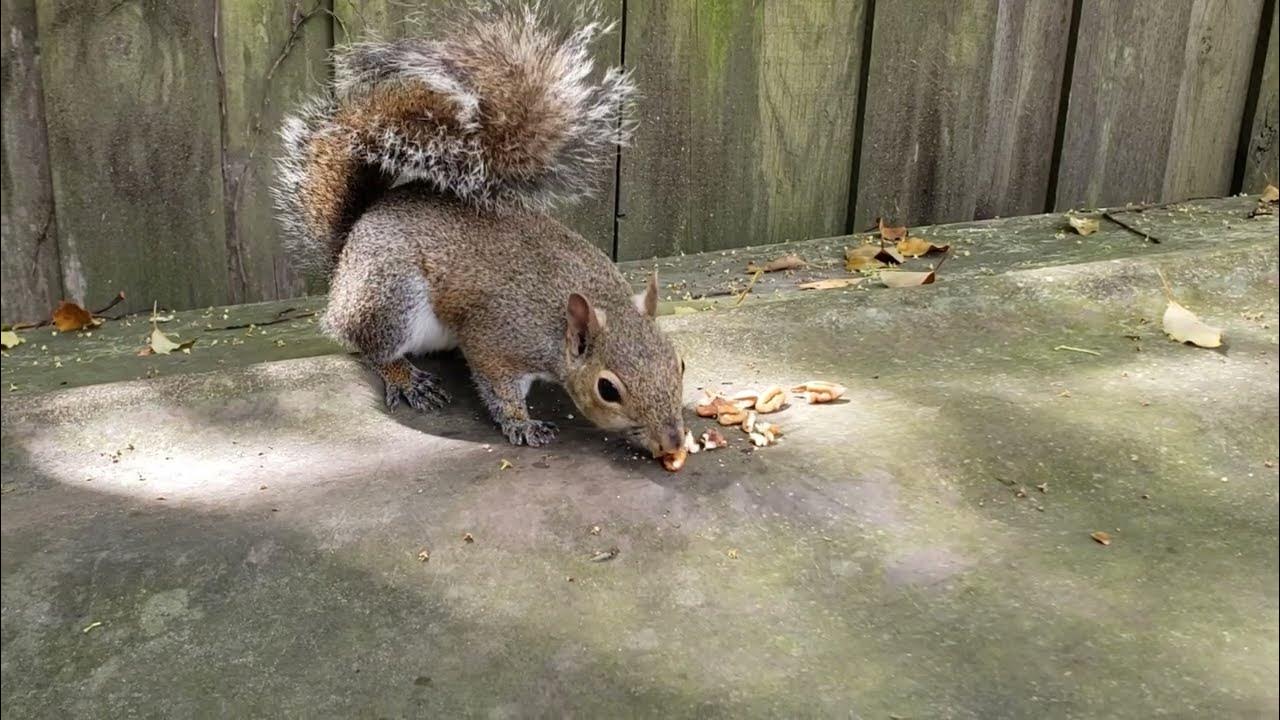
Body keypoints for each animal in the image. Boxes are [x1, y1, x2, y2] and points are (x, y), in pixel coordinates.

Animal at [272, 1, 687, 457]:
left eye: (679, 362)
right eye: (608, 390)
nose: (673, 439)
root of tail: (348, 247)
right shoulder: (497, 341)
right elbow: (498, 387)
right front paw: (521, 423)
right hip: (390, 297)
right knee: (372, 347)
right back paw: (406, 378)